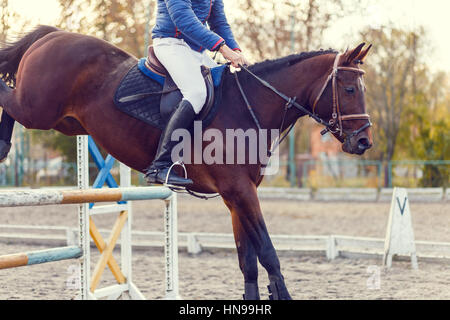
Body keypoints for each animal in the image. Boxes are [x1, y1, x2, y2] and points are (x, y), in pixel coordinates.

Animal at [0, 25, 372, 300]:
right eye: (350, 89)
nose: (364, 141)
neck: (250, 104)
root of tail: (54, 35)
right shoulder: (240, 191)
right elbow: (268, 252)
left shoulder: (236, 196)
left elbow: (248, 261)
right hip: (36, 108)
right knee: (6, 94)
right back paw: (4, 146)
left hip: (65, 122)